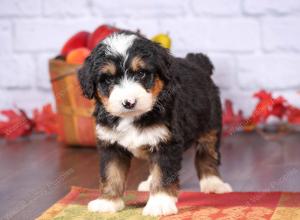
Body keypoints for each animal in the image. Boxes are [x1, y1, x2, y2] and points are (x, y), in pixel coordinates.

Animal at [78, 31, 232, 217]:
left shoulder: (166, 143)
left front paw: (160, 203)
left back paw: (213, 183)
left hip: (210, 124)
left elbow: (163, 174)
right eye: (107, 80)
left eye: (141, 74)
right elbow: (111, 173)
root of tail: (197, 63)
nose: (129, 102)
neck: (133, 117)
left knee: (207, 154)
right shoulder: (111, 145)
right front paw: (108, 201)